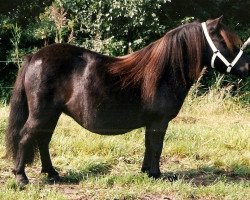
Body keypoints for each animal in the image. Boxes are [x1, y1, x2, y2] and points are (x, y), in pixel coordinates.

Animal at [4, 16, 249, 184]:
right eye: (227, 42)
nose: (247, 68)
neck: (165, 71)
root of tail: (34, 57)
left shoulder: (152, 123)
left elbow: (148, 145)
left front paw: (146, 171)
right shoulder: (159, 122)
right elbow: (157, 146)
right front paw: (157, 174)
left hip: (51, 114)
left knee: (43, 141)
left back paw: (53, 173)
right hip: (42, 114)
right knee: (25, 137)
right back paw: (21, 177)